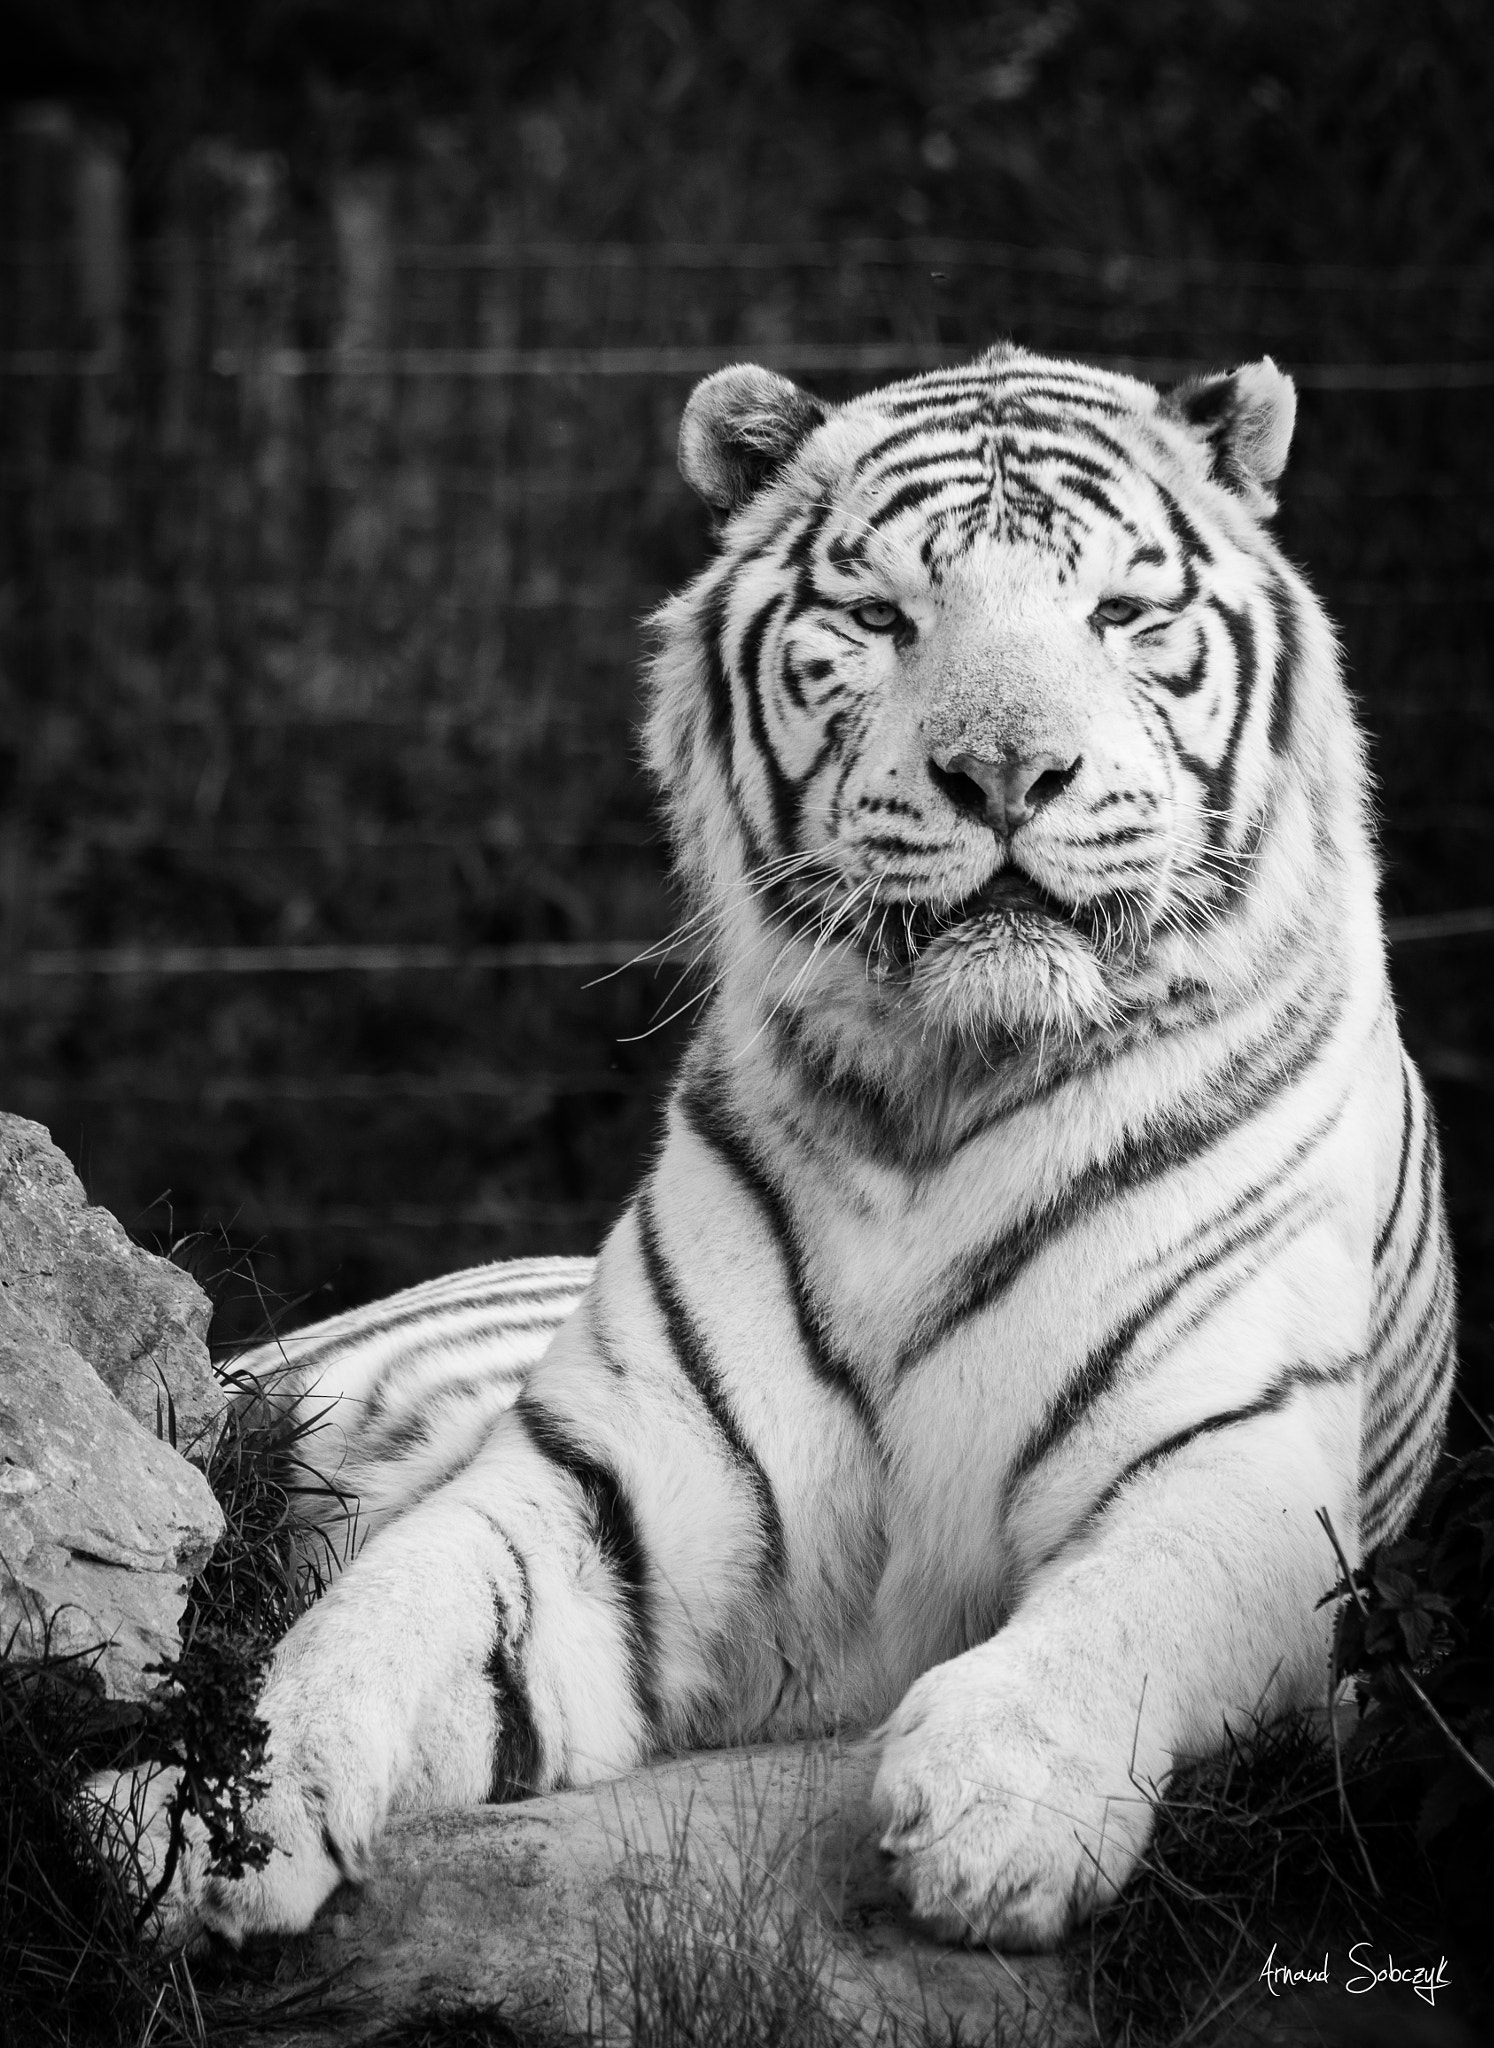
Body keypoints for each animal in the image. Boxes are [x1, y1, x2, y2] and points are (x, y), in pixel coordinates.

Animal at [94, 341, 1455, 1955]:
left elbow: (1133, 1598)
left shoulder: (1240, 1459)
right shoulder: (605, 1480)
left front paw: (994, 1809)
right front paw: (204, 1818)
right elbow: (377, 1611)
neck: (939, 1098)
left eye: (1120, 614)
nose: (1008, 773)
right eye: (880, 619)